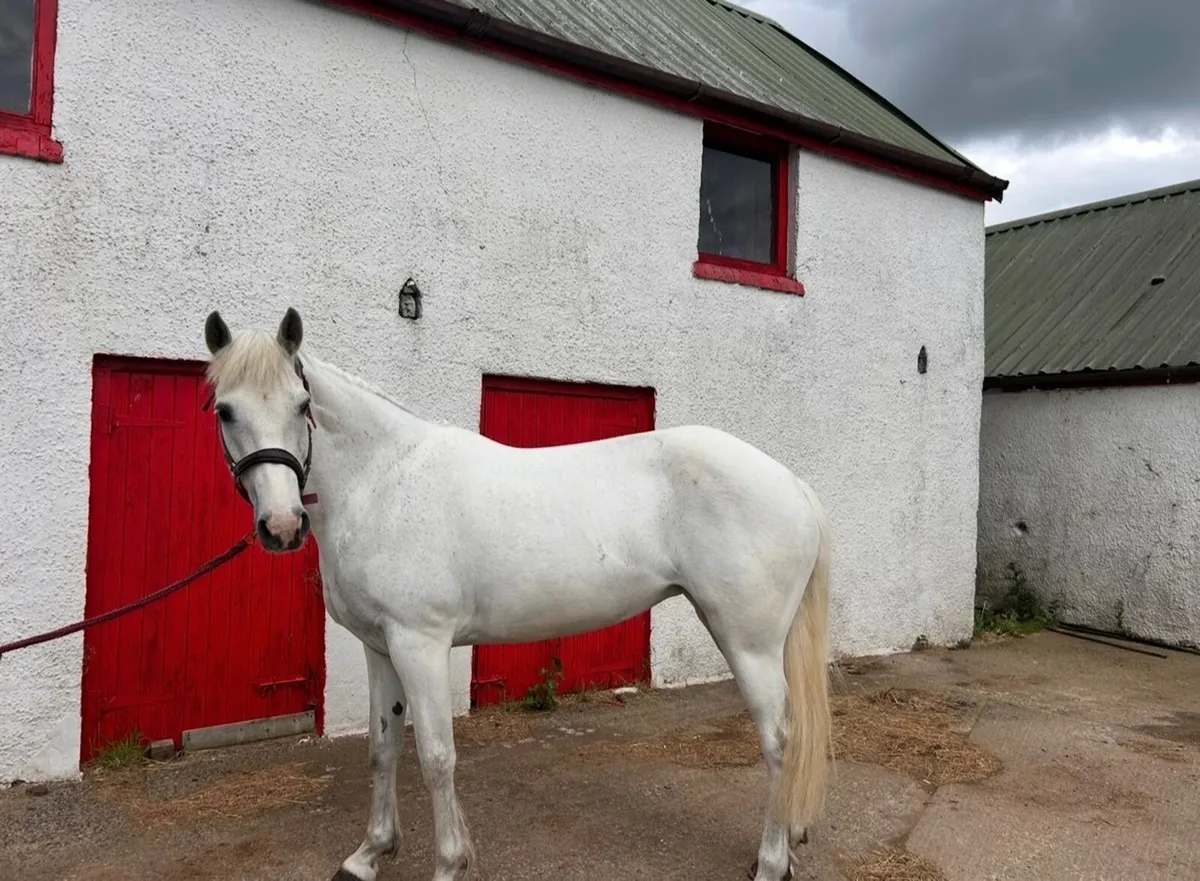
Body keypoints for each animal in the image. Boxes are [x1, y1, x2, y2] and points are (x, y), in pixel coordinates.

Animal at [201, 307, 833, 881]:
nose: (282, 527)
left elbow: (436, 756)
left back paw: (771, 864)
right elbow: (383, 750)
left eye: (301, 406)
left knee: (779, 739)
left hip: (748, 643)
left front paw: (449, 864)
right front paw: (368, 855)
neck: (384, 481)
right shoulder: (379, 648)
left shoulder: (420, 644)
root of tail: (793, 482)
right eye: (226, 410)